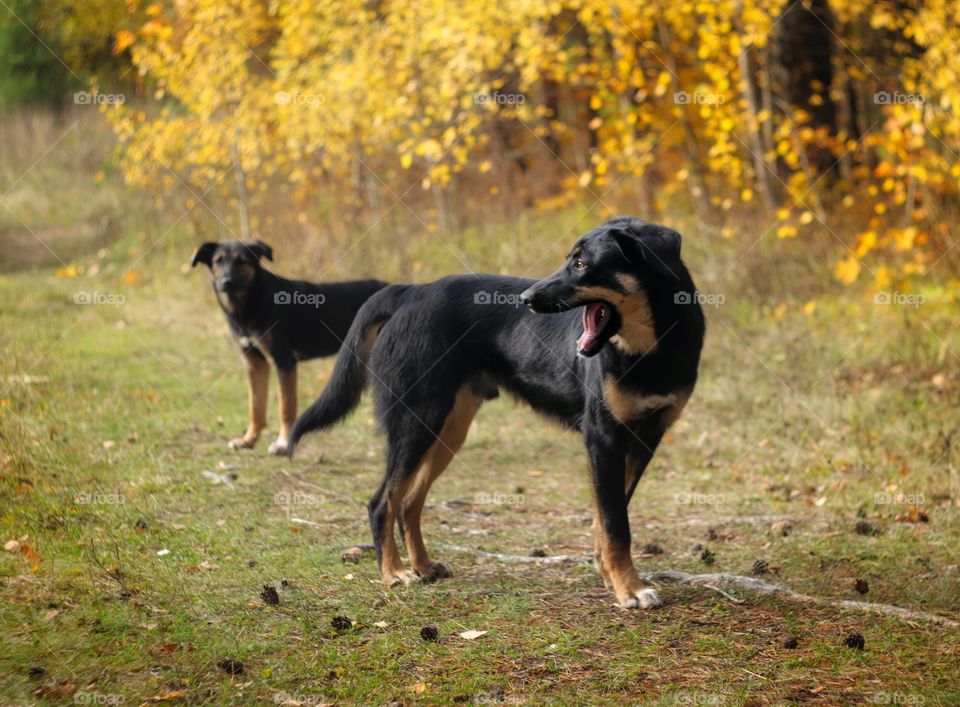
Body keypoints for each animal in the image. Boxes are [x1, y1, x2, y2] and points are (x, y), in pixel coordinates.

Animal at [191, 241, 386, 456]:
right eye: (218, 261)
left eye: (243, 261)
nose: (227, 282)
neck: (252, 301)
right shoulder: (255, 364)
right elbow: (255, 407)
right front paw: (248, 440)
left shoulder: (284, 361)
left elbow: (286, 407)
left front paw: (283, 444)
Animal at [288, 217, 700, 608]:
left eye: (582, 264)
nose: (527, 299)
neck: (649, 349)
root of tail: (412, 292)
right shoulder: (603, 437)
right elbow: (616, 525)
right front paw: (629, 589)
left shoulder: (644, 439)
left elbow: (609, 517)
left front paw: (610, 574)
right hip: (414, 423)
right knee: (382, 502)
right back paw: (394, 573)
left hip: (446, 430)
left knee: (408, 503)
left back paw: (423, 566)